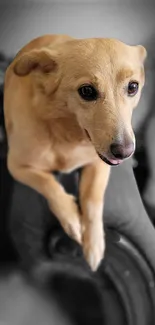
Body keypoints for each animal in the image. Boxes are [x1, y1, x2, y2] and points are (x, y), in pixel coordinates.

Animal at [3, 34, 147, 270]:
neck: (66, 135)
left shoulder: (99, 164)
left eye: (133, 87)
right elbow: (48, 184)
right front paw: (72, 221)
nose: (125, 152)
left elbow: (92, 200)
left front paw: (94, 244)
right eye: (87, 91)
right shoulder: (16, 166)